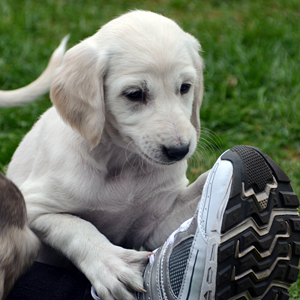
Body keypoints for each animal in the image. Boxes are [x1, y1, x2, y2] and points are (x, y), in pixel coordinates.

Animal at [7, 11, 209, 300]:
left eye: (185, 87)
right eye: (134, 94)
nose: (179, 151)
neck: (123, 161)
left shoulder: (155, 224)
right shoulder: (33, 207)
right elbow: (76, 226)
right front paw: (111, 265)